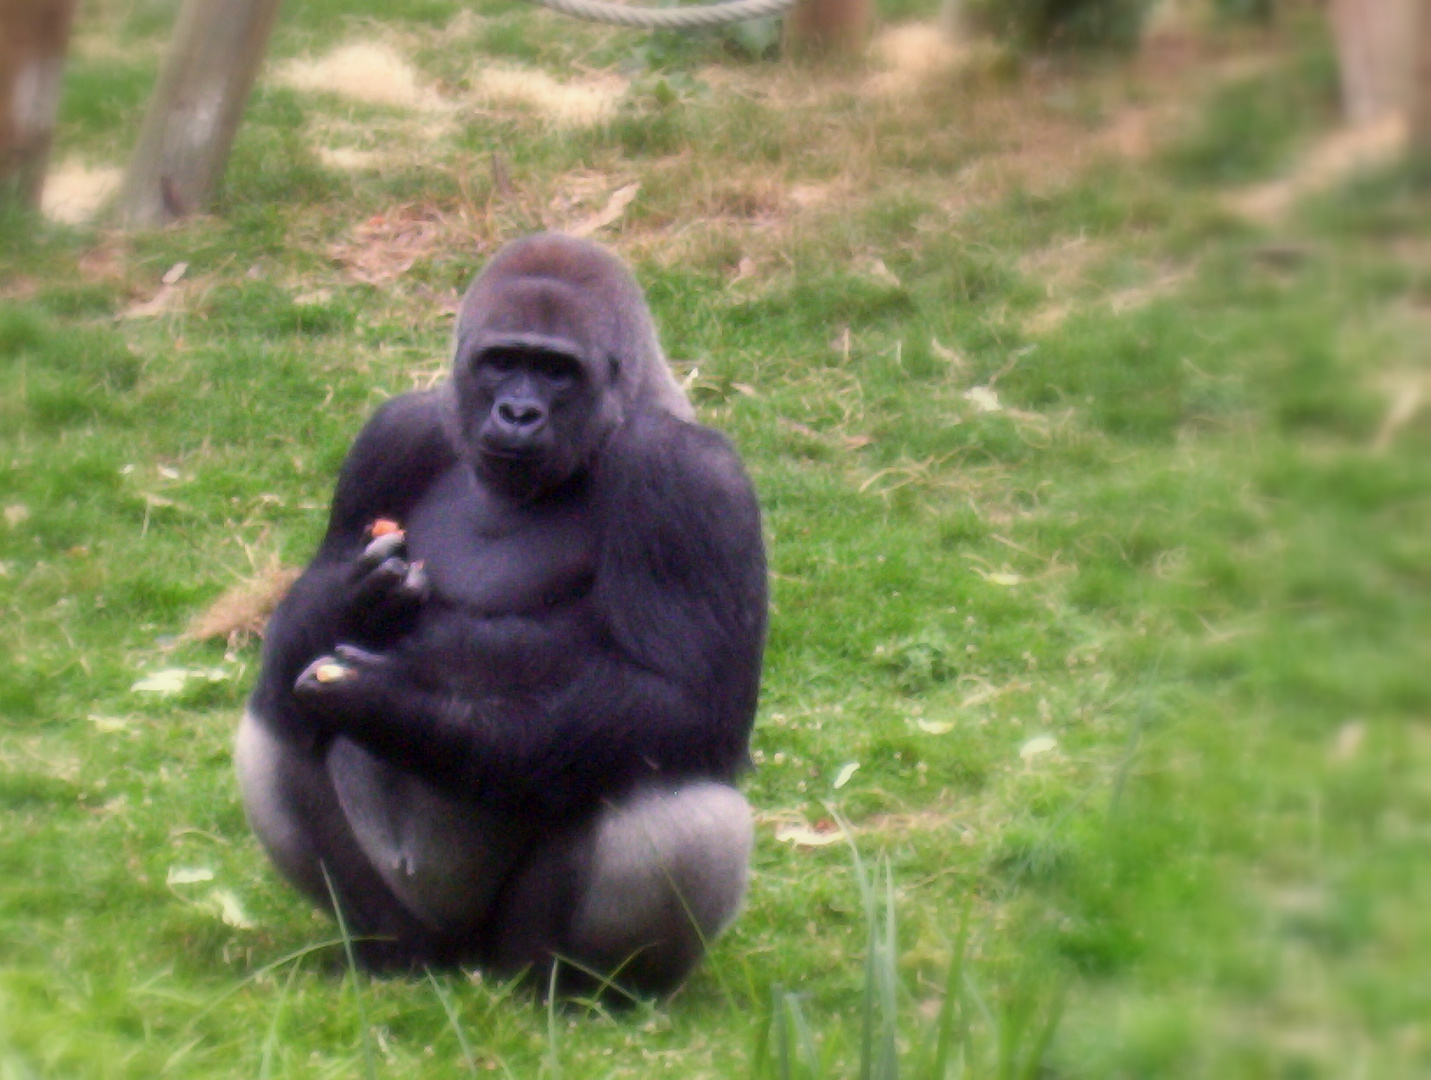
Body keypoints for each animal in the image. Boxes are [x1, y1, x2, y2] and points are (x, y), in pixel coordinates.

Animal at [236, 234, 772, 995]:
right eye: (501, 363)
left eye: (556, 372)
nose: (519, 413)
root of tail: (469, 964)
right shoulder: (390, 436)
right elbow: (292, 643)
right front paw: (352, 598)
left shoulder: (690, 476)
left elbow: (684, 702)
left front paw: (391, 702)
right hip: (422, 933)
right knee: (272, 721)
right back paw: (385, 953)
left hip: (514, 952)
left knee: (680, 803)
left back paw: (588, 990)